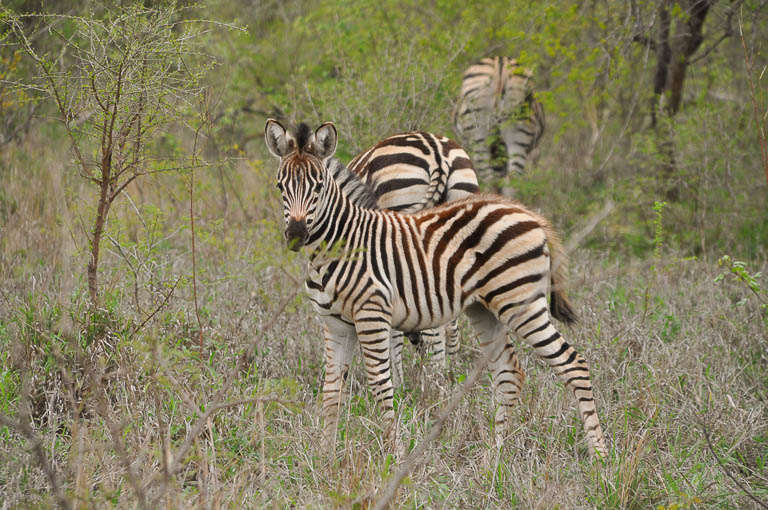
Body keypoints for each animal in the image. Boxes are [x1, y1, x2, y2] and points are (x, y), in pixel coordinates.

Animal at [264, 119, 608, 458]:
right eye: (280, 186)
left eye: (319, 186)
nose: (296, 234)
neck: (338, 244)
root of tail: (532, 216)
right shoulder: (335, 325)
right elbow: (332, 391)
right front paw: (326, 459)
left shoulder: (372, 316)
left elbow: (381, 385)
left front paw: (394, 455)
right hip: (484, 309)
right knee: (509, 372)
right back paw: (495, 457)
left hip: (520, 302)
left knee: (573, 364)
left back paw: (600, 457)